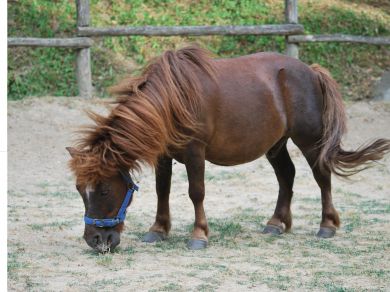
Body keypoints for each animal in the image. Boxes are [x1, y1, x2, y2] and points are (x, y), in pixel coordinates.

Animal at [67, 44, 390, 252]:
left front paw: (199, 235)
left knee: (322, 177)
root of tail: (311, 71)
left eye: (104, 190)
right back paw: (276, 223)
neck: (171, 101)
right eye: (79, 191)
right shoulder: (163, 155)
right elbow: (163, 191)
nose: (96, 241)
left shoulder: (195, 153)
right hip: (276, 145)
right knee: (287, 175)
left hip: (309, 140)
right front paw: (157, 231)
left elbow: (196, 192)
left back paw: (327, 226)